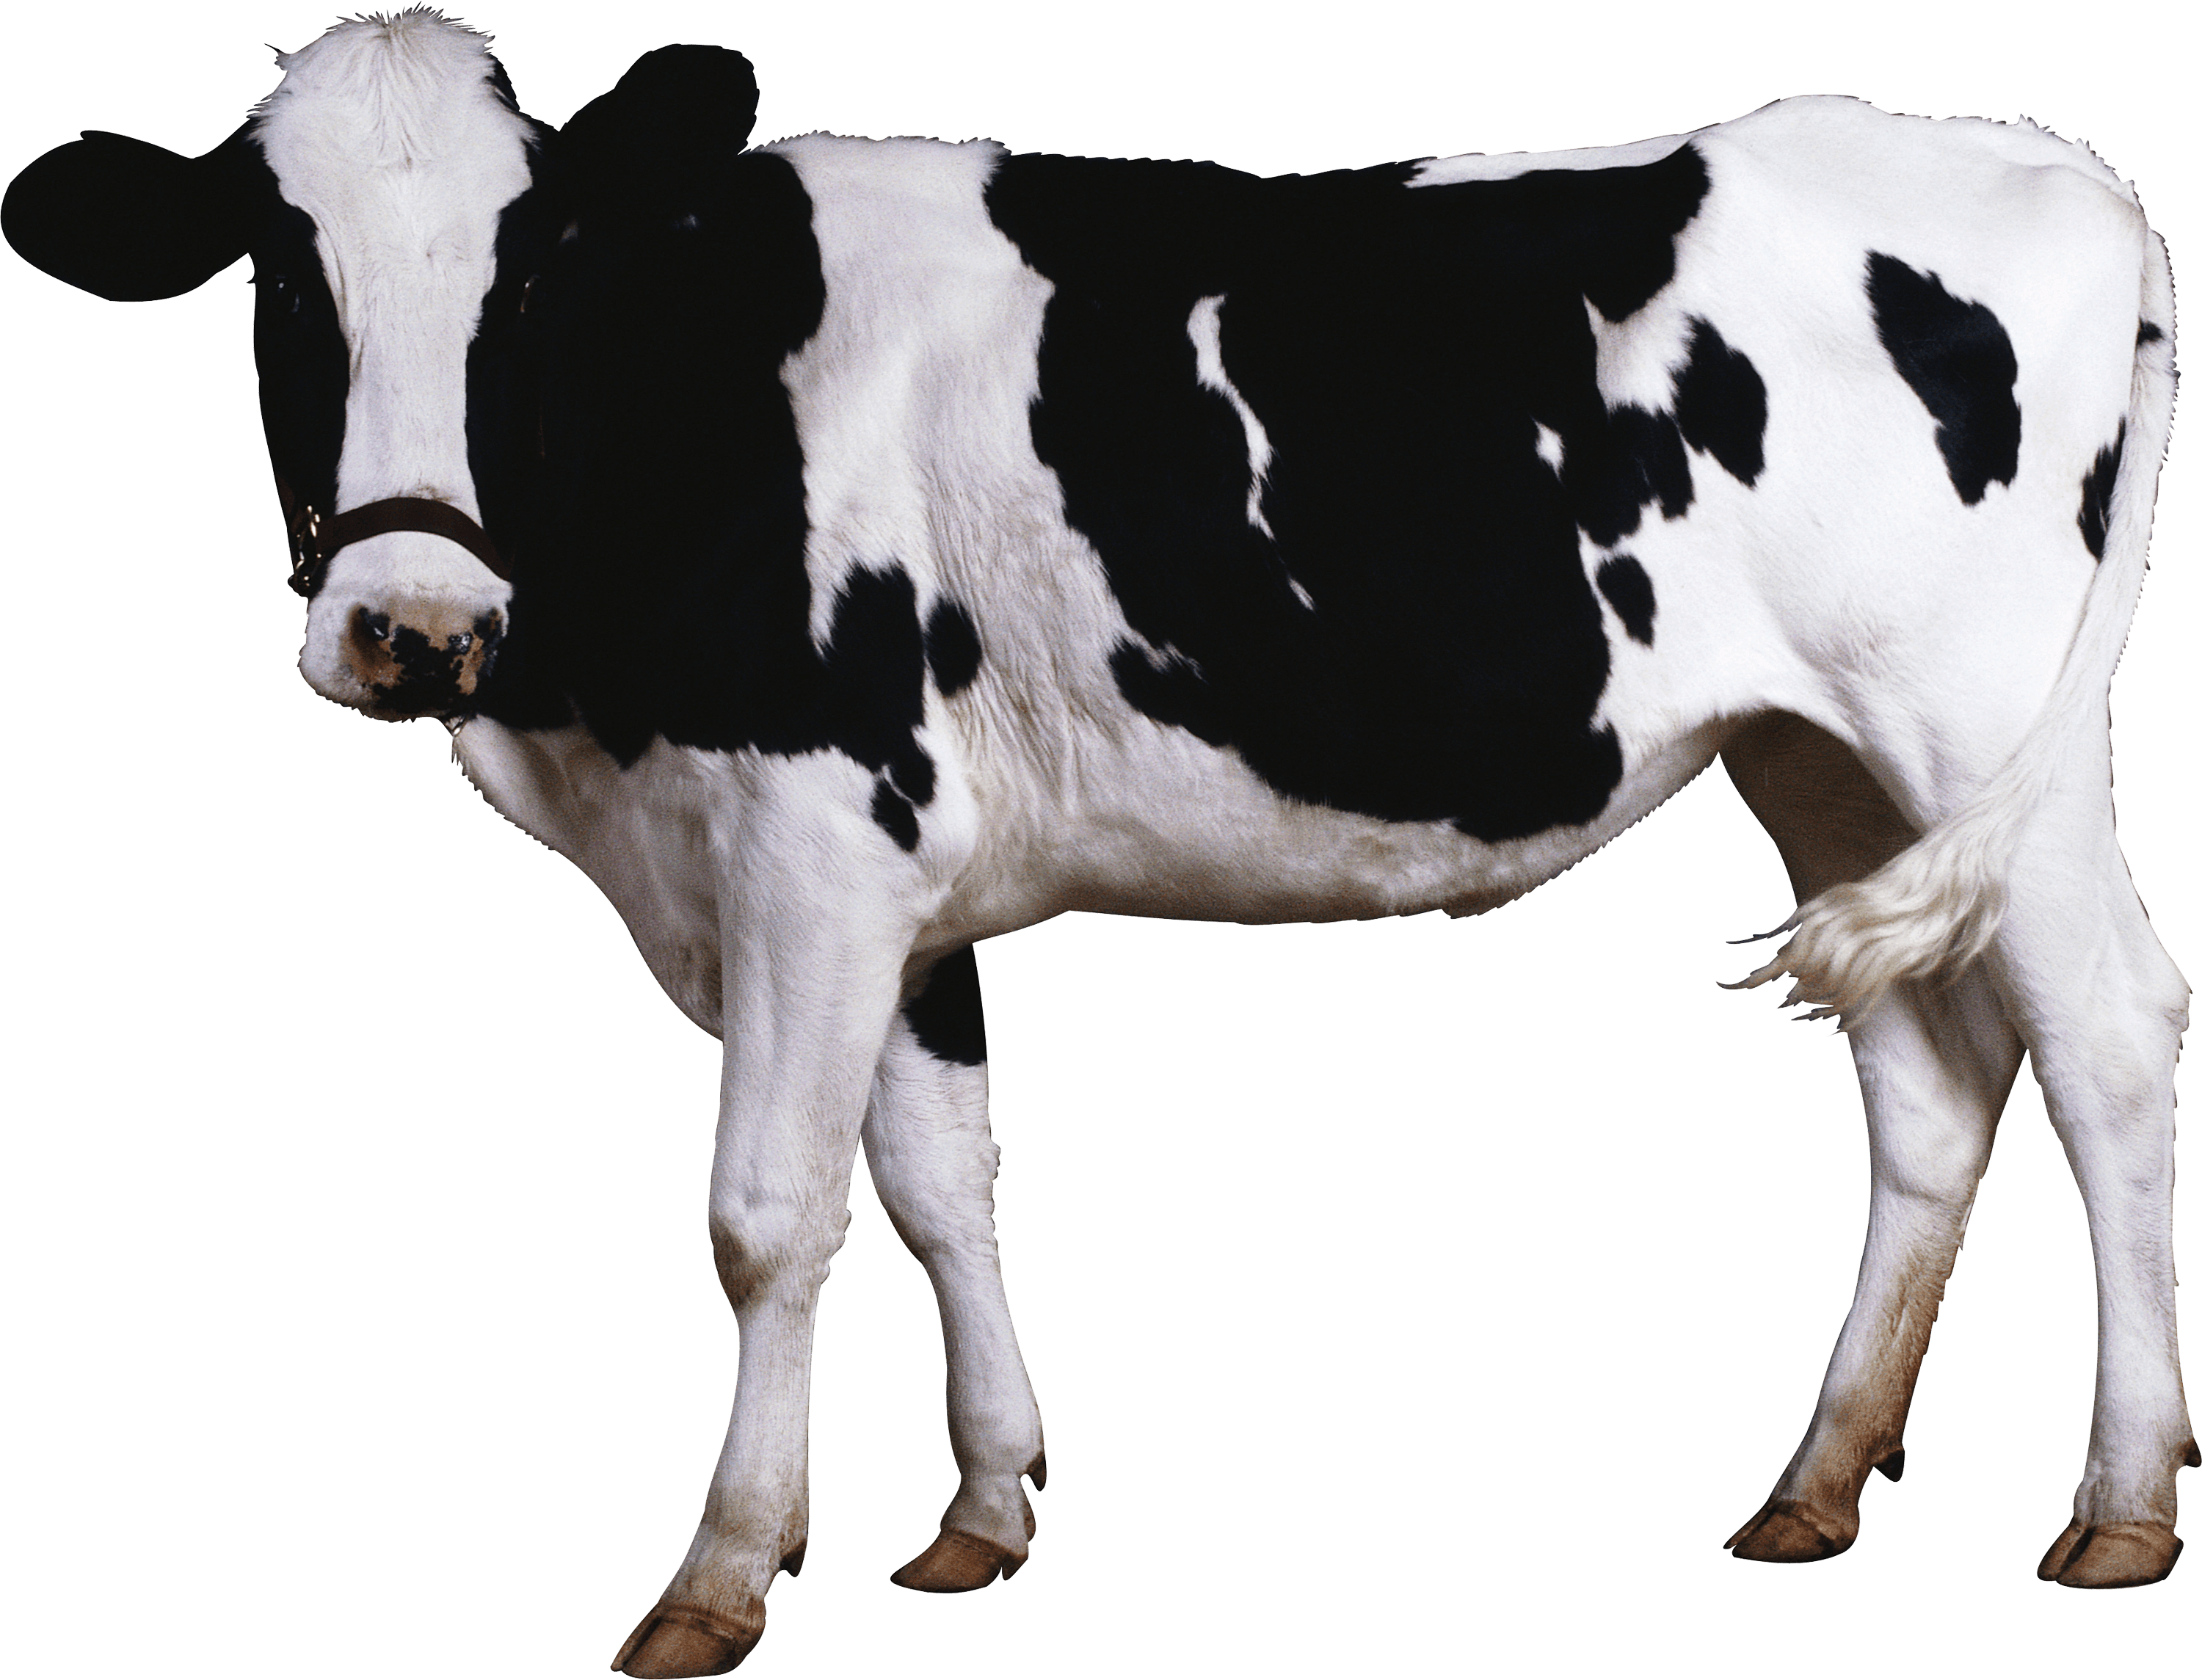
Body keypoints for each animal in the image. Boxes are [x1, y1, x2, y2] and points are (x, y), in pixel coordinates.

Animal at [6, 11, 2190, 1672]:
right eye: (277, 278)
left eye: (531, 273)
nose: (412, 630)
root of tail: (2043, 159)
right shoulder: (895, 885)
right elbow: (937, 1181)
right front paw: (978, 1511)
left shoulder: (811, 843)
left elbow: (766, 1217)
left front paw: (718, 1578)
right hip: (1812, 754)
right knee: (1927, 1077)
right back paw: (1814, 1485)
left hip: (1981, 719)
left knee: (2105, 1035)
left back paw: (2122, 1506)